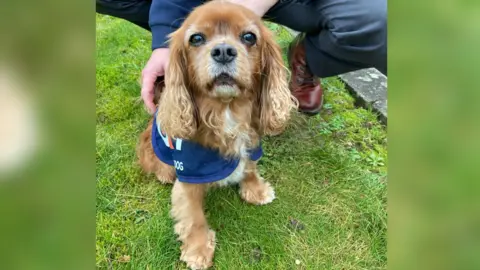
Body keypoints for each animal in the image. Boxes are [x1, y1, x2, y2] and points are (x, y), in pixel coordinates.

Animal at [136, 1, 296, 268]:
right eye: (197, 38)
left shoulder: (251, 144)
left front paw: (256, 190)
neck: (226, 111)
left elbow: (249, 167)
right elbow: (193, 216)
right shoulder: (189, 174)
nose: (223, 51)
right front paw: (198, 249)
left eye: (249, 37)